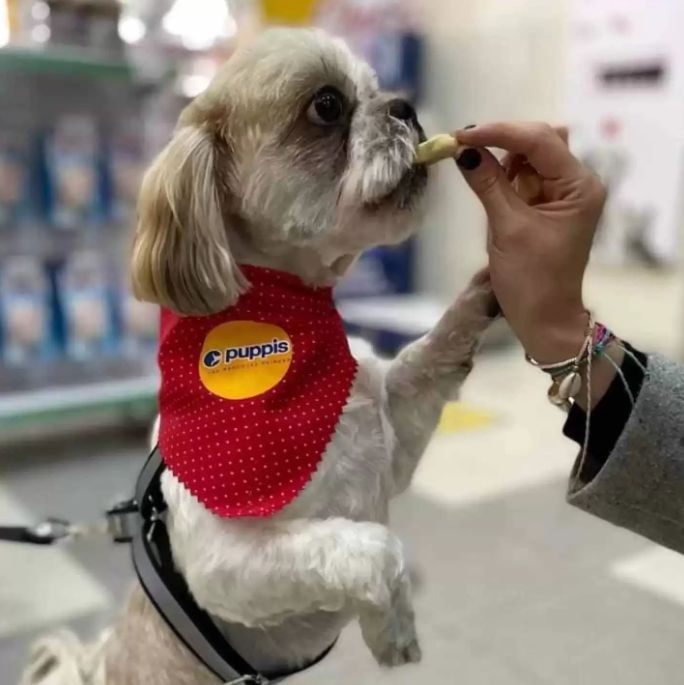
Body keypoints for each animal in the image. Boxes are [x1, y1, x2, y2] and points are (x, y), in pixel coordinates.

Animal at [22, 26, 496, 684]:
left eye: (379, 89)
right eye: (327, 105)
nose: (406, 107)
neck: (290, 341)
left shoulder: (390, 441)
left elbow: (420, 365)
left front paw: (487, 291)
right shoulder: (230, 562)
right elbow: (375, 550)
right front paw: (393, 628)